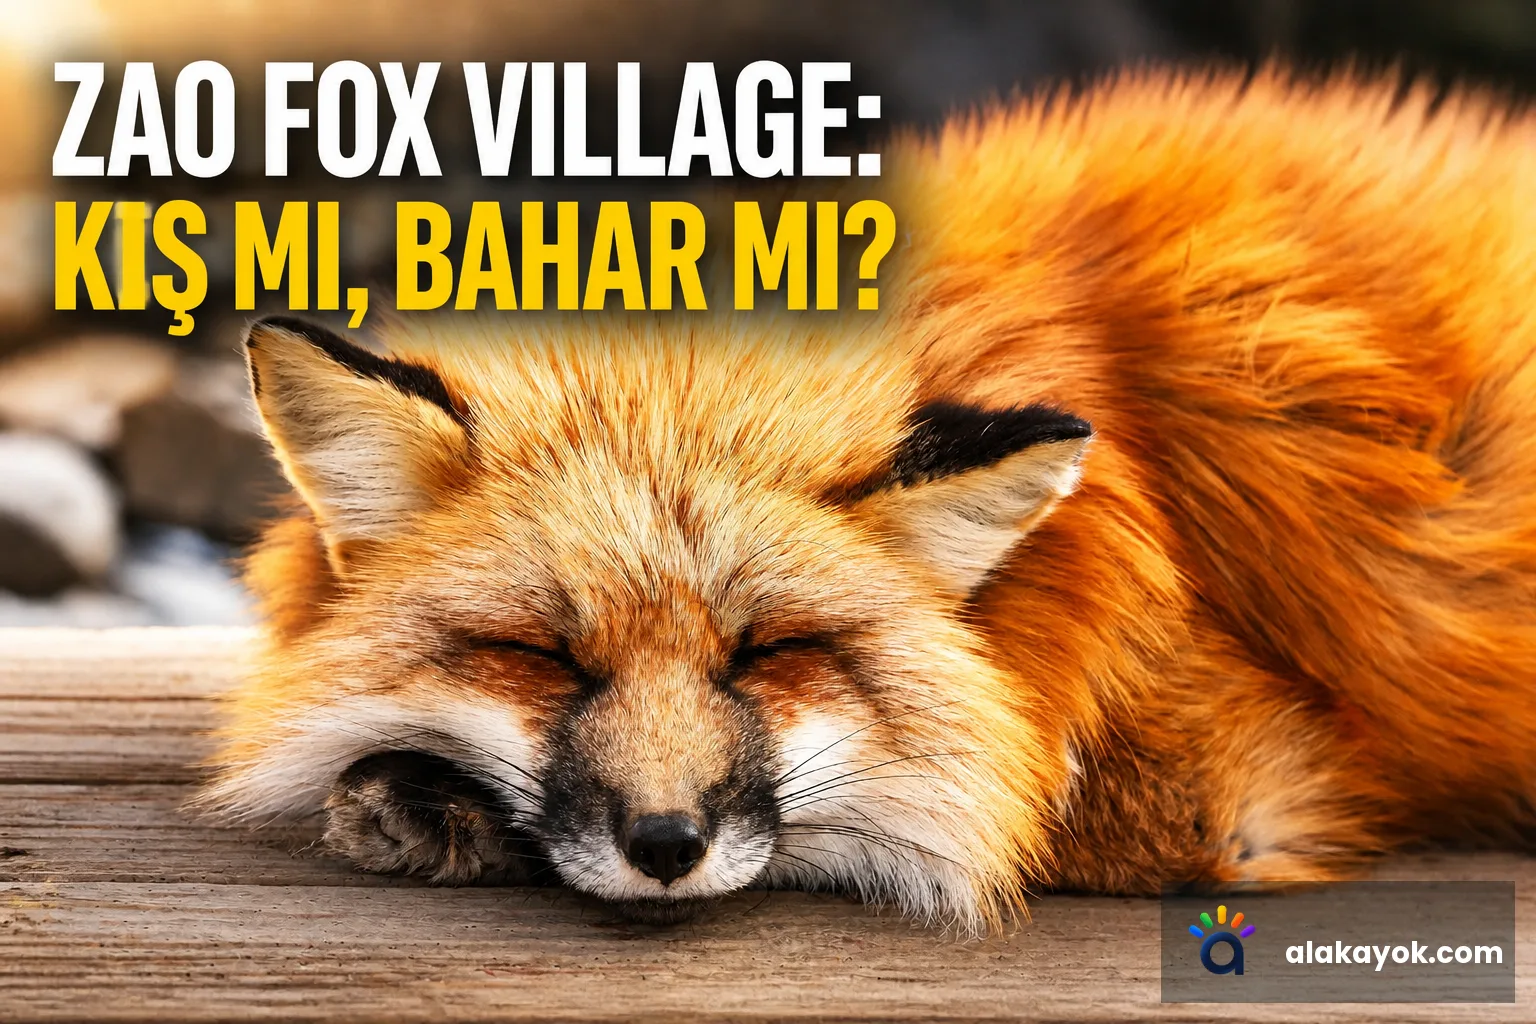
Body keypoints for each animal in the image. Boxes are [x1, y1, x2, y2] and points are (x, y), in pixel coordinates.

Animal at [199, 66, 1536, 933]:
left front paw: (434, 797)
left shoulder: (1232, 780)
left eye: (772, 651)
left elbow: (965, 802)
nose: (666, 847)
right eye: (541, 657)